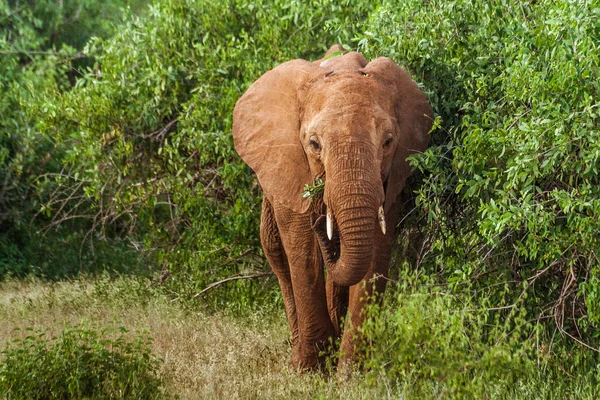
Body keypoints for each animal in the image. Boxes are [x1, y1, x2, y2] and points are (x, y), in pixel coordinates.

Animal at [232, 45, 434, 370]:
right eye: (314, 144)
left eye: (388, 141)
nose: (321, 223)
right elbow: (301, 249)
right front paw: (311, 370)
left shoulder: (391, 178)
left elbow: (374, 251)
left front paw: (352, 373)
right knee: (274, 248)